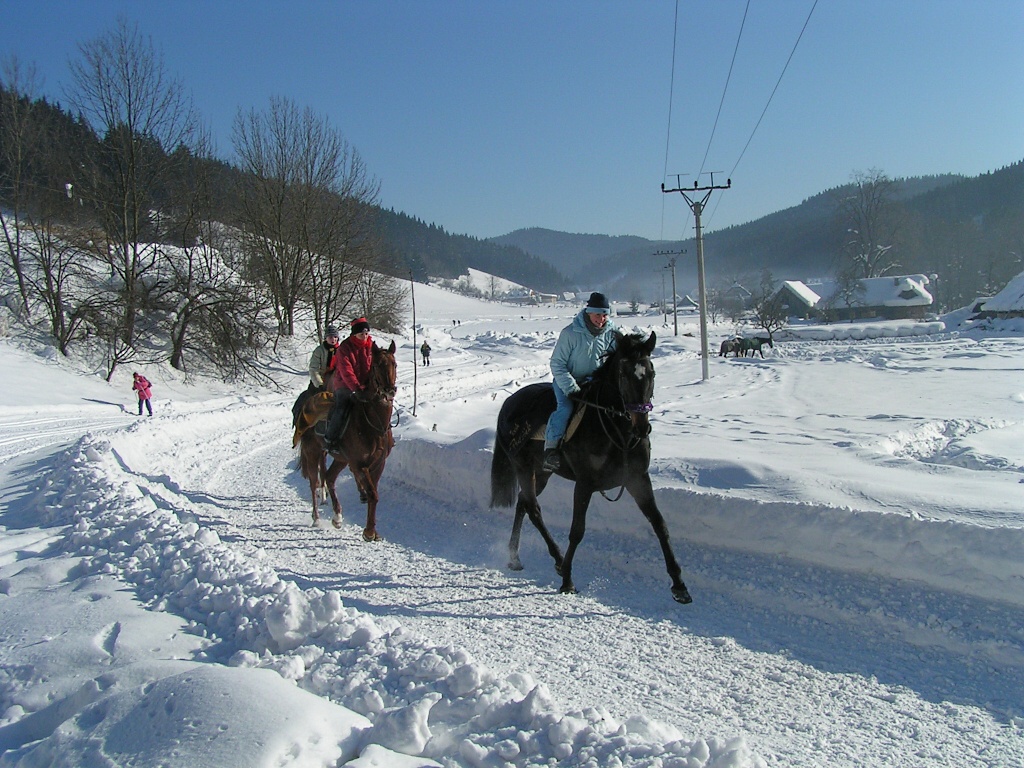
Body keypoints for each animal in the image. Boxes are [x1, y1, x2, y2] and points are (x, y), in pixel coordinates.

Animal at [294, 339, 397, 544]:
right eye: (376, 365)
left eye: (394, 364)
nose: (389, 391)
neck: (373, 423)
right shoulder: (358, 464)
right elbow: (373, 494)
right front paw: (369, 532)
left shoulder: (378, 463)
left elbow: (374, 494)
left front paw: (373, 531)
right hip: (313, 452)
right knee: (314, 482)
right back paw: (317, 518)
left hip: (340, 459)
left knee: (329, 477)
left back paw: (337, 517)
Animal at [489, 331, 696, 606]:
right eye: (623, 374)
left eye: (651, 372)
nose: (642, 426)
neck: (616, 430)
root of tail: (508, 403)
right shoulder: (584, 484)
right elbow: (577, 530)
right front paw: (568, 580)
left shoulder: (638, 479)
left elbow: (660, 525)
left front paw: (679, 585)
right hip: (523, 467)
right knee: (533, 509)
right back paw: (555, 559)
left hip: (541, 472)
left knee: (523, 503)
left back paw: (518, 556)